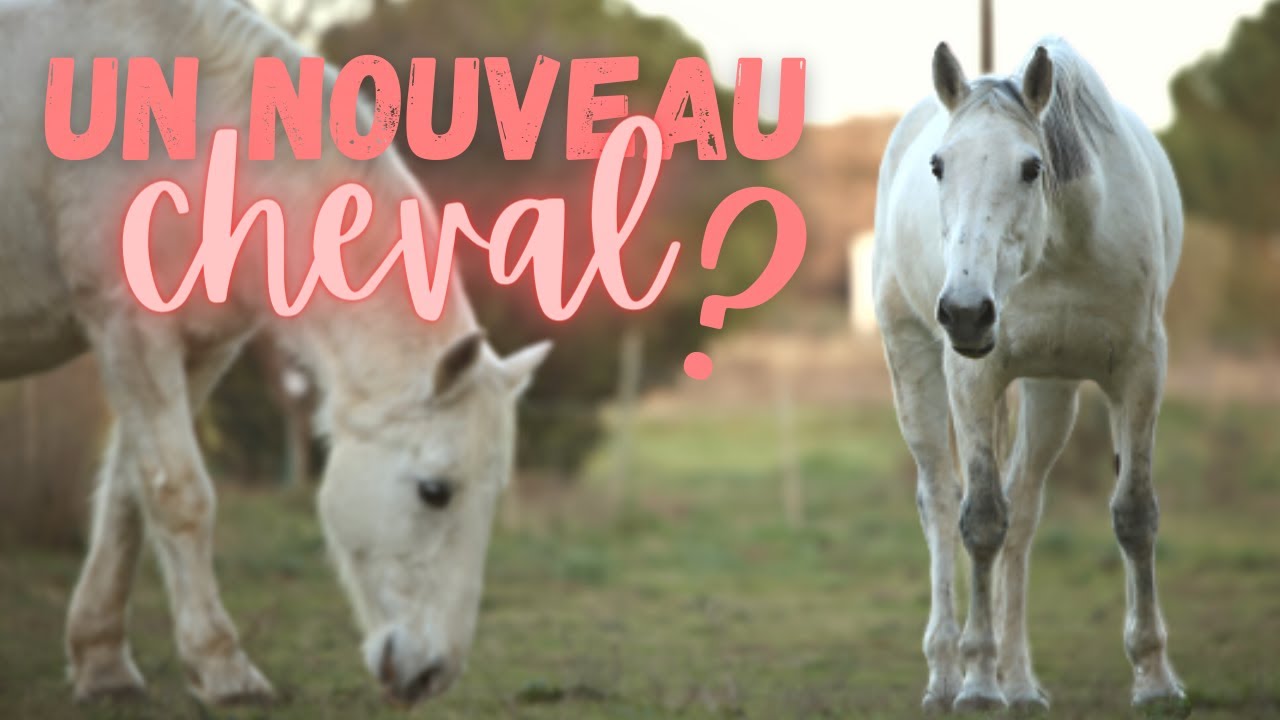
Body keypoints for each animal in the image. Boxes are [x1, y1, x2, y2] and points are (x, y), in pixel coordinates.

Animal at [1, 0, 550, 706]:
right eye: (436, 492)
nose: (432, 675)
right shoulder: (128, 330)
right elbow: (180, 495)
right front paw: (223, 669)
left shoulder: (200, 348)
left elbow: (128, 494)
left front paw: (102, 663)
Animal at [873, 38, 1186, 714]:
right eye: (938, 166)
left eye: (1030, 168)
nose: (966, 312)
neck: (1060, 249)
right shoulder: (974, 378)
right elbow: (981, 520)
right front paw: (977, 684)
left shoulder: (1141, 373)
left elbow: (1134, 515)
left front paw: (1155, 680)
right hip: (913, 362)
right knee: (941, 502)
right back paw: (946, 675)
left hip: (1051, 393)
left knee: (1025, 508)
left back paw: (1019, 683)